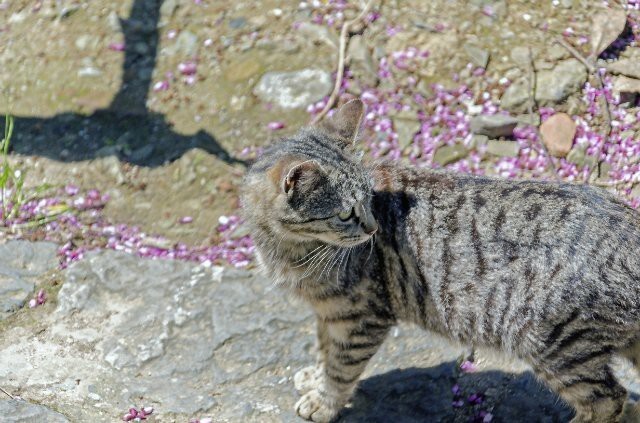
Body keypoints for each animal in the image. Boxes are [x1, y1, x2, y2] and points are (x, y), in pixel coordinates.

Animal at [240, 100, 640, 423]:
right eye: (345, 214)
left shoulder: (360, 318)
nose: (373, 228)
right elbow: (324, 349)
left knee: (608, 401)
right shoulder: (328, 314)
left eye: (367, 202)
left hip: (549, 342)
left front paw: (323, 402)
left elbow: (340, 368)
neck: (290, 249)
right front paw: (314, 377)